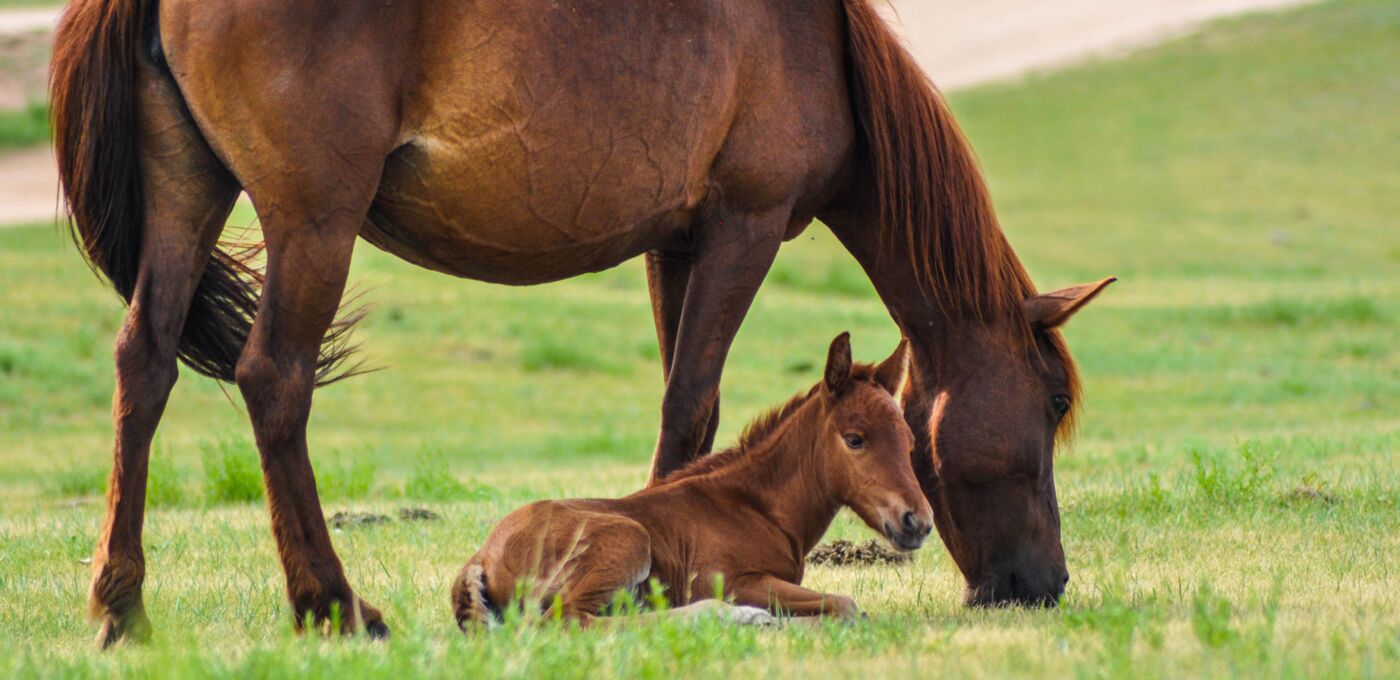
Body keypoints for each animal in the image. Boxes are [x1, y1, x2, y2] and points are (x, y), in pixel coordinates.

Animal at [450, 334, 929, 626]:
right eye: (855, 439)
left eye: (909, 441)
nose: (918, 523)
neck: (756, 508)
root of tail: (481, 557)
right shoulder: (731, 580)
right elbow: (846, 606)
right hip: (627, 540)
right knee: (572, 621)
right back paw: (733, 617)